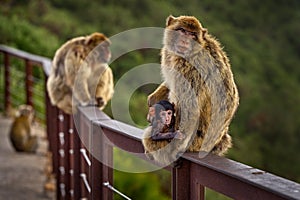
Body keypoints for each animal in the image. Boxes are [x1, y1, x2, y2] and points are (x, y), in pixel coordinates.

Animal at [143, 15, 239, 165]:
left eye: (192, 35)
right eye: (182, 31)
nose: (186, 40)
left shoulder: (190, 67)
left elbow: (189, 109)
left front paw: (173, 150)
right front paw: (155, 97)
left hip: (193, 143)